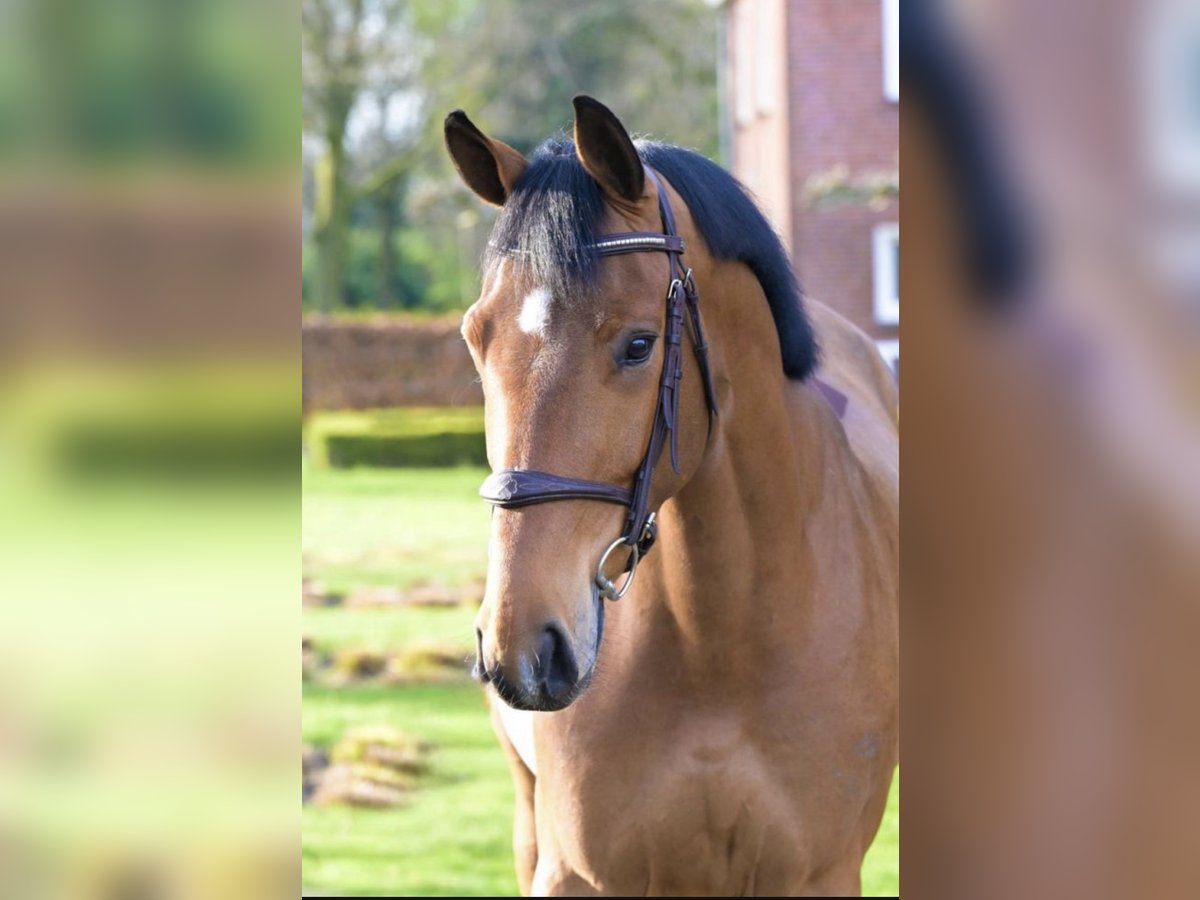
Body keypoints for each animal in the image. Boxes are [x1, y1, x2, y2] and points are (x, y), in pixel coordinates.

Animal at [446, 95, 897, 897]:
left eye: (638, 344)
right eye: (476, 338)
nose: (523, 646)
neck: (720, 640)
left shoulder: (821, 874)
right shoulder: (574, 873)